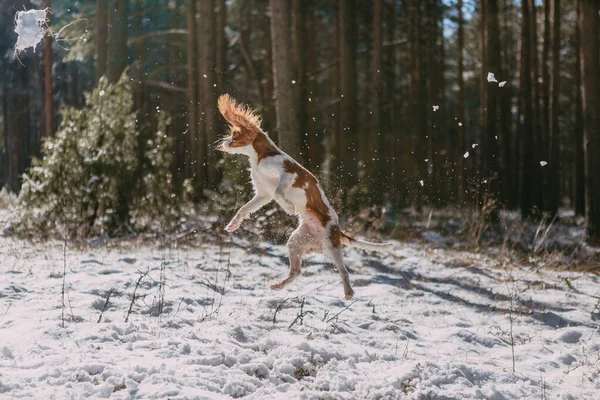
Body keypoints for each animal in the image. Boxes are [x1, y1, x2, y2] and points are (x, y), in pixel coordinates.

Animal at [218, 95, 392, 298]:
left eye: (234, 134)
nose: (223, 142)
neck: (260, 156)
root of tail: (338, 230)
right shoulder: (263, 194)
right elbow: (244, 208)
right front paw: (233, 224)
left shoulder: (289, 175)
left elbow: (279, 192)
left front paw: (289, 207)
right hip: (296, 241)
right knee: (297, 271)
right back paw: (278, 286)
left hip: (331, 244)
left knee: (344, 270)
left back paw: (348, 292)